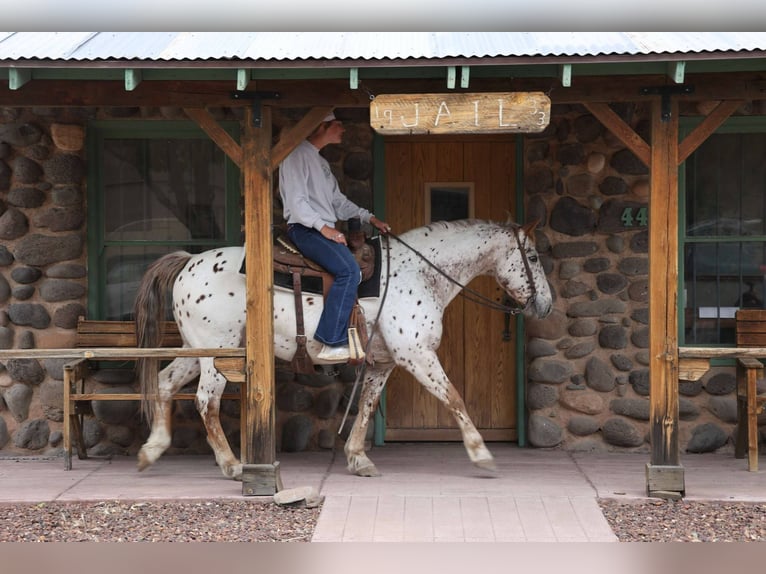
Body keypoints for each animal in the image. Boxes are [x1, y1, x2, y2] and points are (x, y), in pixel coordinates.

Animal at [133, 218, 552, 479]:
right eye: (532, 257)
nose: (546, 306)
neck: (419, 274)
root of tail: (190, 261)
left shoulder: (384, 363)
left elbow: (365, 407)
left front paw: (358, 458)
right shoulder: (416, 355)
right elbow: (454, 397)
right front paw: (481, 453)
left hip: (198, 349)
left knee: (165, 383)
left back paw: (151, 450)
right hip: (217, 354)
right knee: (206, 401)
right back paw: (232, 465)